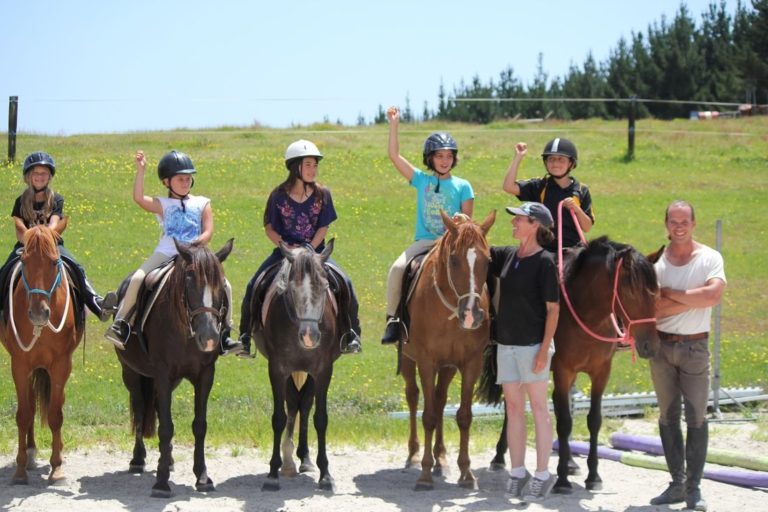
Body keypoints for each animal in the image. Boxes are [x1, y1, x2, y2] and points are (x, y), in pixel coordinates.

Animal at [0, 222, 84, 484]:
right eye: (24, 261)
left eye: (54, 262)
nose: (38, 313)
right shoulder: (19, 364)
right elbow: (23, 414)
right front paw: (19, 470)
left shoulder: (61, 364)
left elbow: (56, 414)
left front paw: (57, 468)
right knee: (30, 404)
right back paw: (30, 452)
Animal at [115, 238, 233, 498]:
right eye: (189, 281)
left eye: (220, 283)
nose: (209, 336)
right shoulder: (161, 374)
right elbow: (165, 427)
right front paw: (161, 482)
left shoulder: (205, 375)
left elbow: (199, 425)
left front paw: (202, 476)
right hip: (131, 373)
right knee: (140, 410)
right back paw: (138, 459)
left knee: (158, 409)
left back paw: (167, 458)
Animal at [251, 240, 342, 491]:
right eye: (291, 289)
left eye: (325, 286)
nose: (310, 336)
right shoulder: (277, 369)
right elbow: (279, 418)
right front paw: (273, 473)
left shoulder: (323, 370)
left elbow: (320, 418)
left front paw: (326, 475)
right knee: (294, 404)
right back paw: (289, 462)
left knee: (304, 405)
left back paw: (304, 459)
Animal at [399, 210, 496, 490]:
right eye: (453, 260)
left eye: (488, 260)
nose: (472, 314)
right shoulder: (426, 362)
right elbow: (428, 415)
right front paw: (424, 474)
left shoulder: (470, 363)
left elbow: (463, 416)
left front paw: (466, 472)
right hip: (408, 359)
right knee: (413, 396)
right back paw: (414, 454)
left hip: (448, 367)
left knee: (440, 400)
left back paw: (441, 457)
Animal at [478, 235, 660, 493]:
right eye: (632, 292)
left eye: (656, 292)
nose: (650, 346)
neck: (587, 312)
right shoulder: (563, 371)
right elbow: (564, 421)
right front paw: (562, 479)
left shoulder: (601, 372)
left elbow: (594, 420)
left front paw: (593, 476)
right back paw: (500, 456)